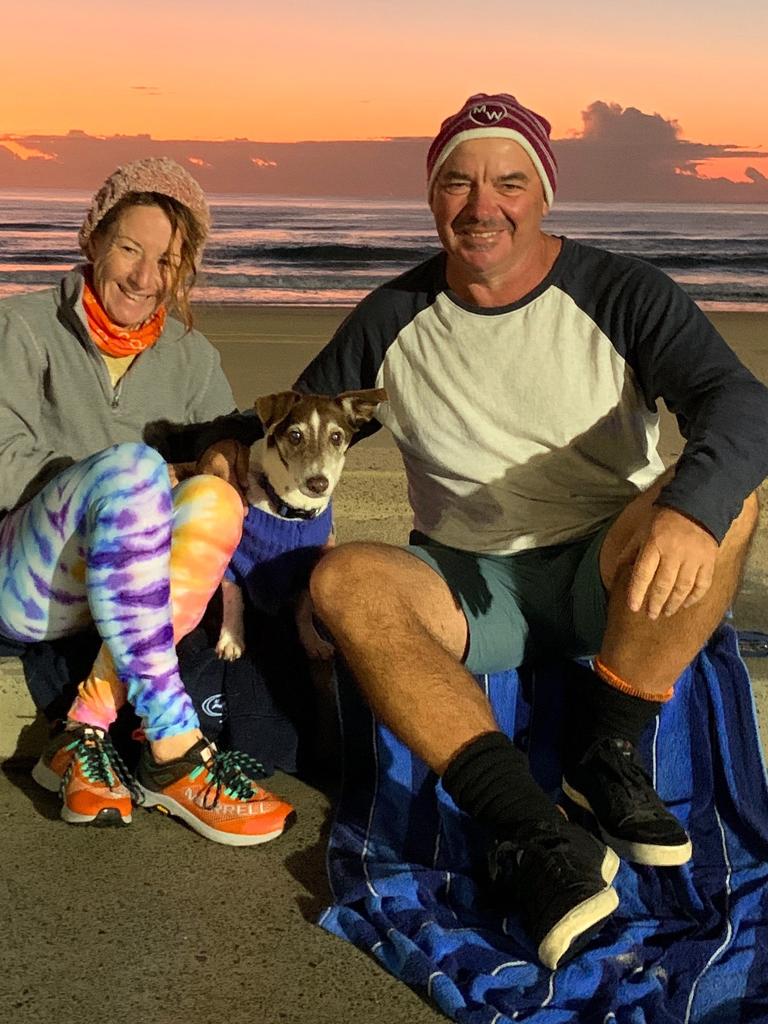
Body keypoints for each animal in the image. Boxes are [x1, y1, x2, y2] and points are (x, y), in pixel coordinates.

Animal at [215, 385, 385, 663]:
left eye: (336, 437)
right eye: (295, 435)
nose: (318, 483)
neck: (291, 513)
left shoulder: (308, 566)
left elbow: (304, 610)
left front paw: (312, 641)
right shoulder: (232, 563)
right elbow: (233, 600)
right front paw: (231, 640)